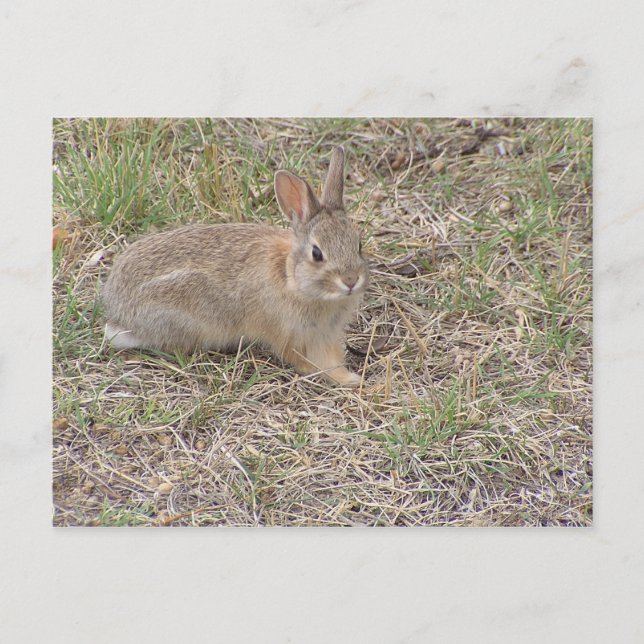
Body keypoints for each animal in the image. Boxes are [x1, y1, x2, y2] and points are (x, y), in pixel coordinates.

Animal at [102, 146, 369, 387]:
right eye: (316, 253)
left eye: (358, 244)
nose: (350, 281)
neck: (292, 279)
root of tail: (118, 310)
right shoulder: (292, 336)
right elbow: (312, 363)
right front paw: (349, 379)